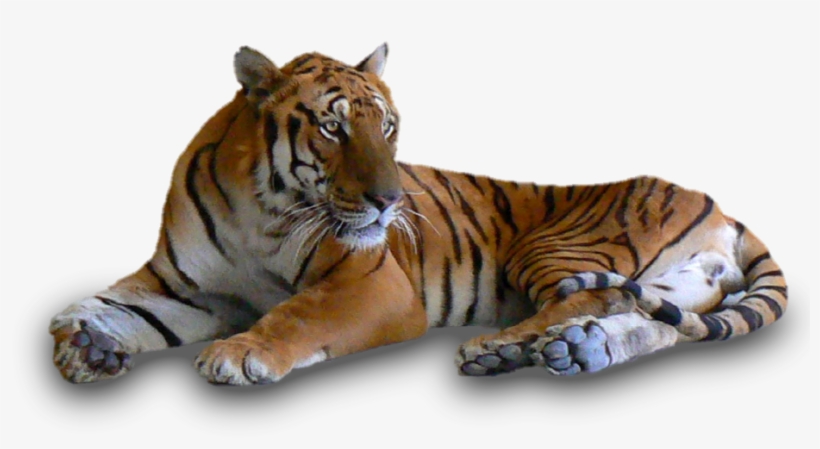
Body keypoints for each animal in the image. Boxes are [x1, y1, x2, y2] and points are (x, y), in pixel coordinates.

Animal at [50, 44, 787, 385]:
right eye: (332, 128)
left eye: (389, 127)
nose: (389, 201)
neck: (257, 208)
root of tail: (719, 204)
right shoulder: (185, 286)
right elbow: (112, 305)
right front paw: (85, 342)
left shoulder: (371, 282)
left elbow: (296, 316)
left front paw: (239, 353)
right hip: (672, 287)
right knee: (650, 320)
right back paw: (575, 351)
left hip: (557, 246)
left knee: (591, 298)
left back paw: (503, 348)